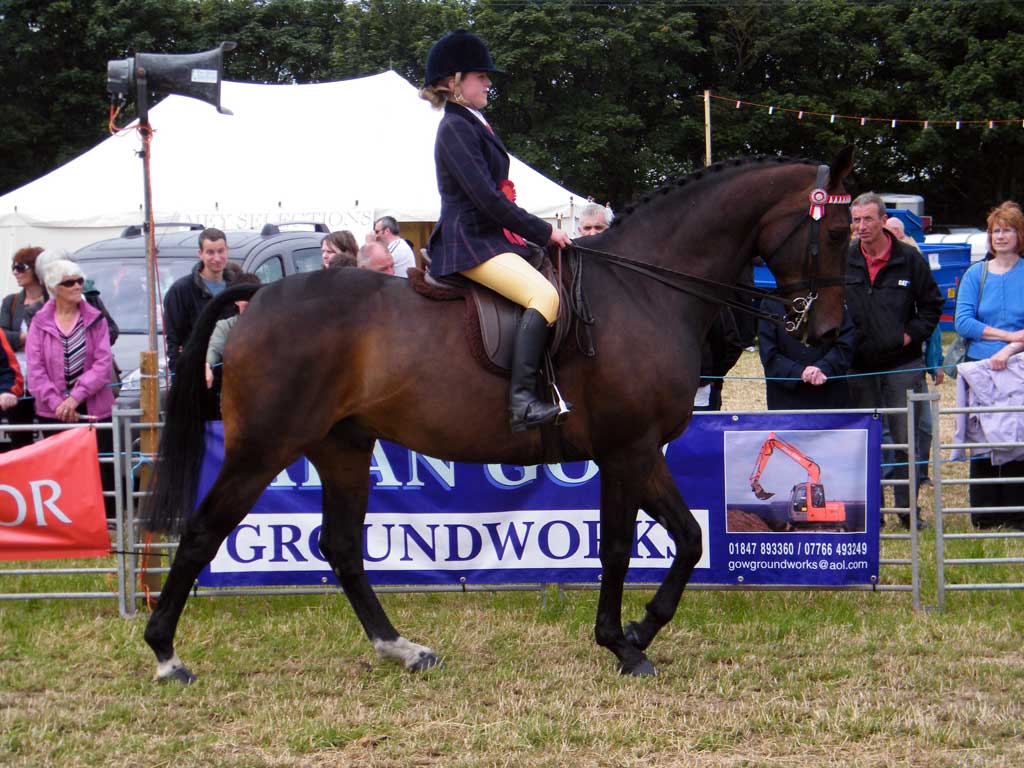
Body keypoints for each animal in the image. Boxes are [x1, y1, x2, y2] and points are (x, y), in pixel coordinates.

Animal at [140, 147, 851, 684]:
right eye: (838, 233)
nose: (825, 331)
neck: (643, 290)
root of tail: (256, 296)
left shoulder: (635, 453)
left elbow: (679, 539)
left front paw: (634, 631)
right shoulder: (629, 448)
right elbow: (632, 546)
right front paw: (625, 642)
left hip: (342, 448)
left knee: (341, 547)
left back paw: (402, 649)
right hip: (263, 446)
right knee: (203, 532)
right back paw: (166, 654)